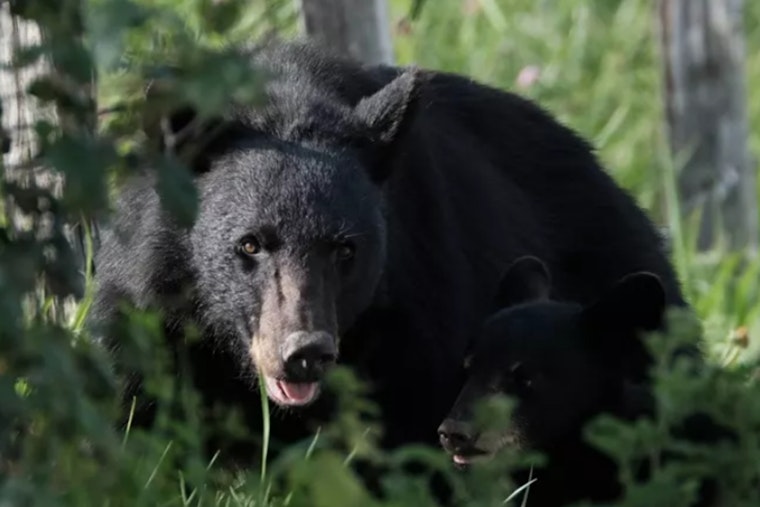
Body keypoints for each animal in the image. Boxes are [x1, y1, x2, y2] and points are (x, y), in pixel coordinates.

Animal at [88, 39, 690, 472]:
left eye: (345, 249)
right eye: (250, 244)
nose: (304, 353)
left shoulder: (420, 313)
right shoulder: (150, 306)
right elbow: (140, 422)